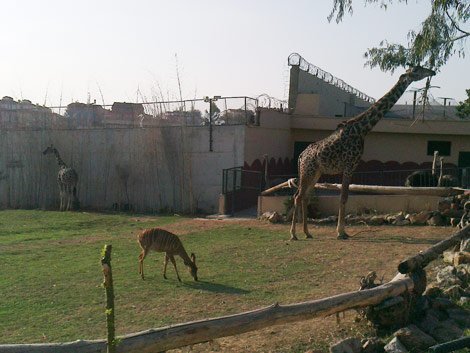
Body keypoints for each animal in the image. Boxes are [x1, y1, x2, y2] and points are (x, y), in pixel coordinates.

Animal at [292, 65, 436, 239]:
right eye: (417, 70)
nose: (432, 71)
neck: (363, 129)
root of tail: (301, 156)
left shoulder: (352, 166)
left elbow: (344, 197)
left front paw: (342, 231)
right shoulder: (349, 165)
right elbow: (344, 197)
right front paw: (341, 232)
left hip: (315, 173)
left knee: (305, 197)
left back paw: (307, 233)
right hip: (308, 171)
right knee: (298, 196)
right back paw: (293, 234)